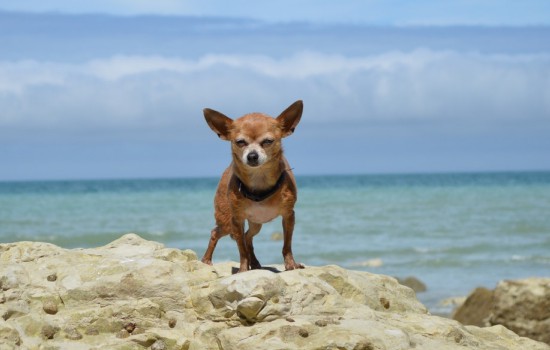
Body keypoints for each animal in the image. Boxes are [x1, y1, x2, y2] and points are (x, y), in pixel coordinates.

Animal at [203, 100, 306, 272]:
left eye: (268, 141)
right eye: (240, 142)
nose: (252, 156)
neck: (259, 180)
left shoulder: (288, 216)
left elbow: (287, 244)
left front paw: (291, 264)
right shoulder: (236, 220)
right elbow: (241, 250)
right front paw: (243, 270)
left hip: (256, 224)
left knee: (247, 237)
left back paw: (256, 263)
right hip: (226, 222)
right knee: (216, 233)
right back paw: (206, 259)